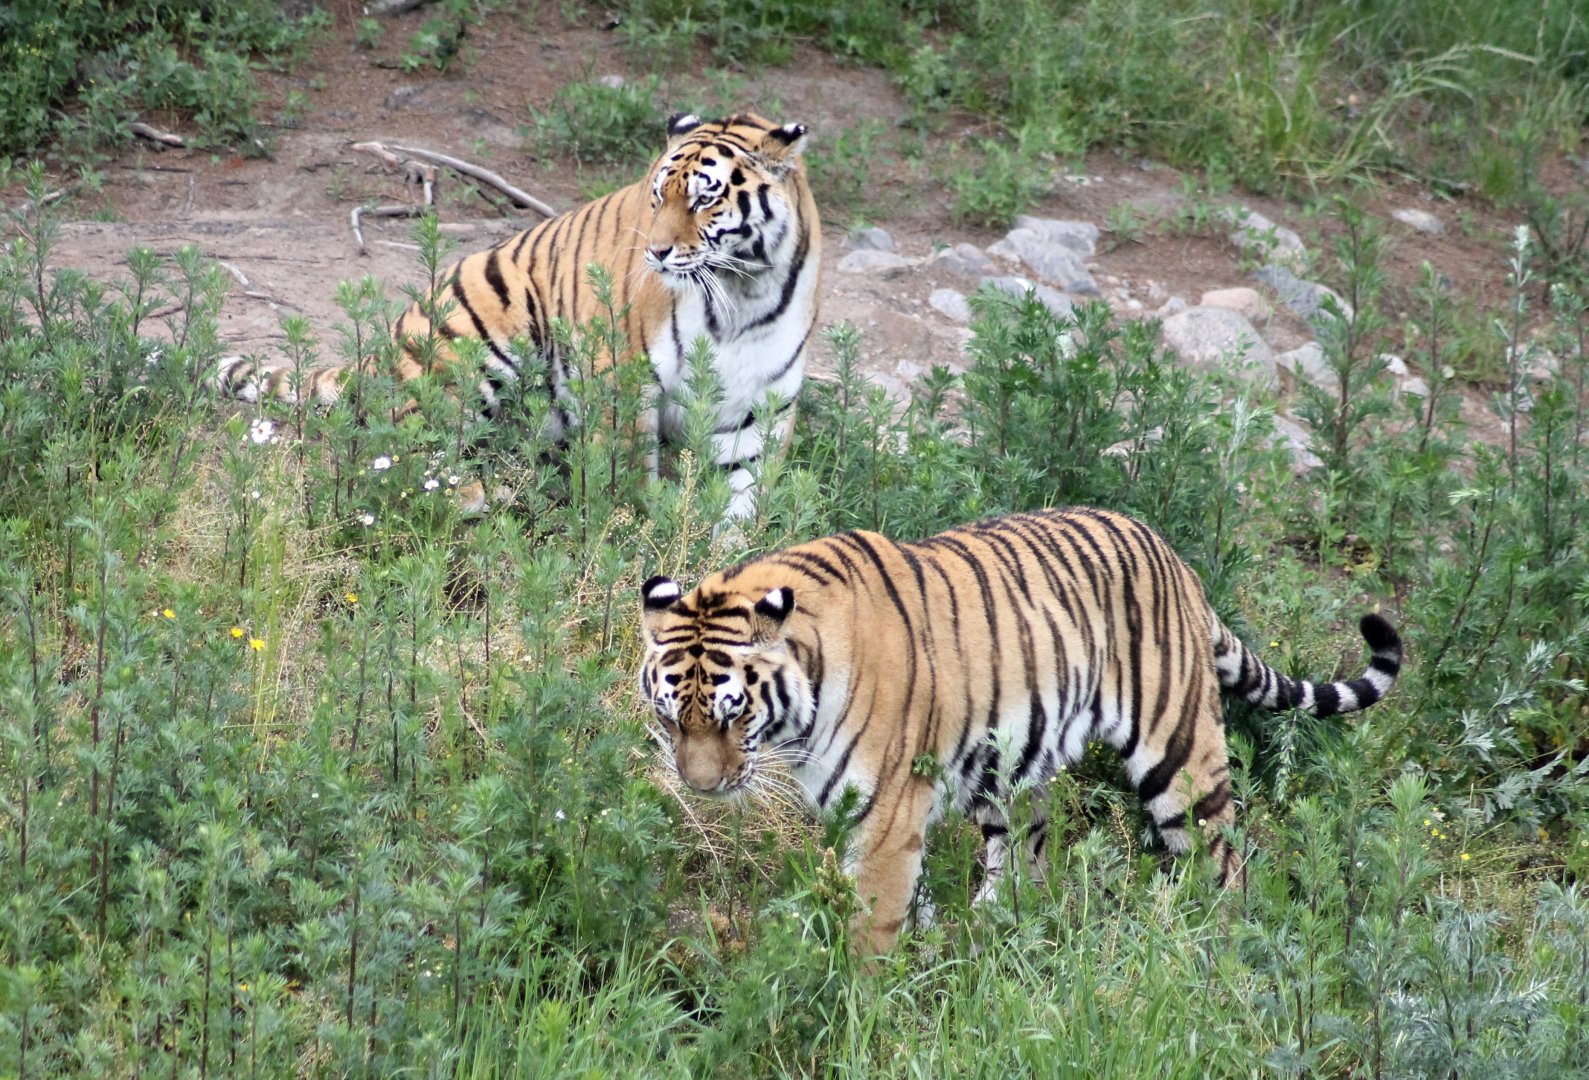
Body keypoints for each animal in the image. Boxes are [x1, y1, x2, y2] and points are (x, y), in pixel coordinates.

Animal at [214, 111, 822, 520]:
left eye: (704, 199)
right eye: (658, 197)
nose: (655, 252)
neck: (741, 295)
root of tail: (387, 343)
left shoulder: (758, 408)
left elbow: (743, 505)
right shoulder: (624, 381)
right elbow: (626, 477)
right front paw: (632, 535)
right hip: (477, 343)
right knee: (400, 450)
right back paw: (487, 496)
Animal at [637, 506, 1402, 956]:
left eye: (733, 712)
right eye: (671, 716)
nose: (701, 787)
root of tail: (1174, 556)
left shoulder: (886, 812)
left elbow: (870, 921)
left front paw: (854, 1002)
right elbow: (905, 900)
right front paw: (925, 957)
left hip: (1179, 758)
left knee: (1224, 865)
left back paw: (1214, 952)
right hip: (1006, 767)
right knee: (1026, 861)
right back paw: (993, 924)